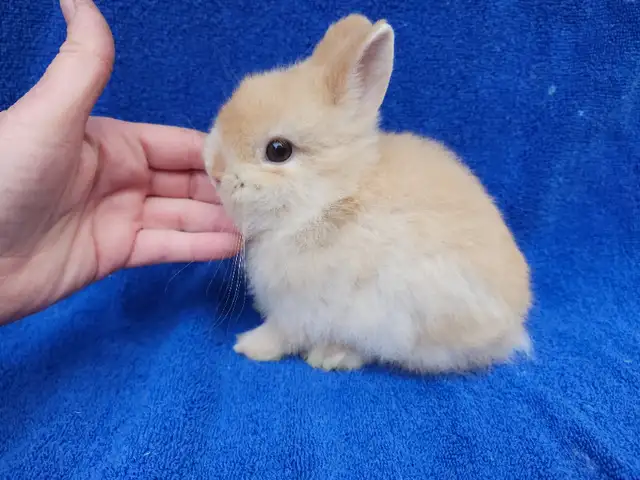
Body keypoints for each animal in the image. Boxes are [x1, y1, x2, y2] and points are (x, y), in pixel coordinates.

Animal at [202, 13, 532, 373]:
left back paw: (331, 355)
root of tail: (512, 325)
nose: (214, 171)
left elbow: (281, 333)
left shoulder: (300, 309)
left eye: (278, 151)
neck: (332, 200)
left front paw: (249, 346)